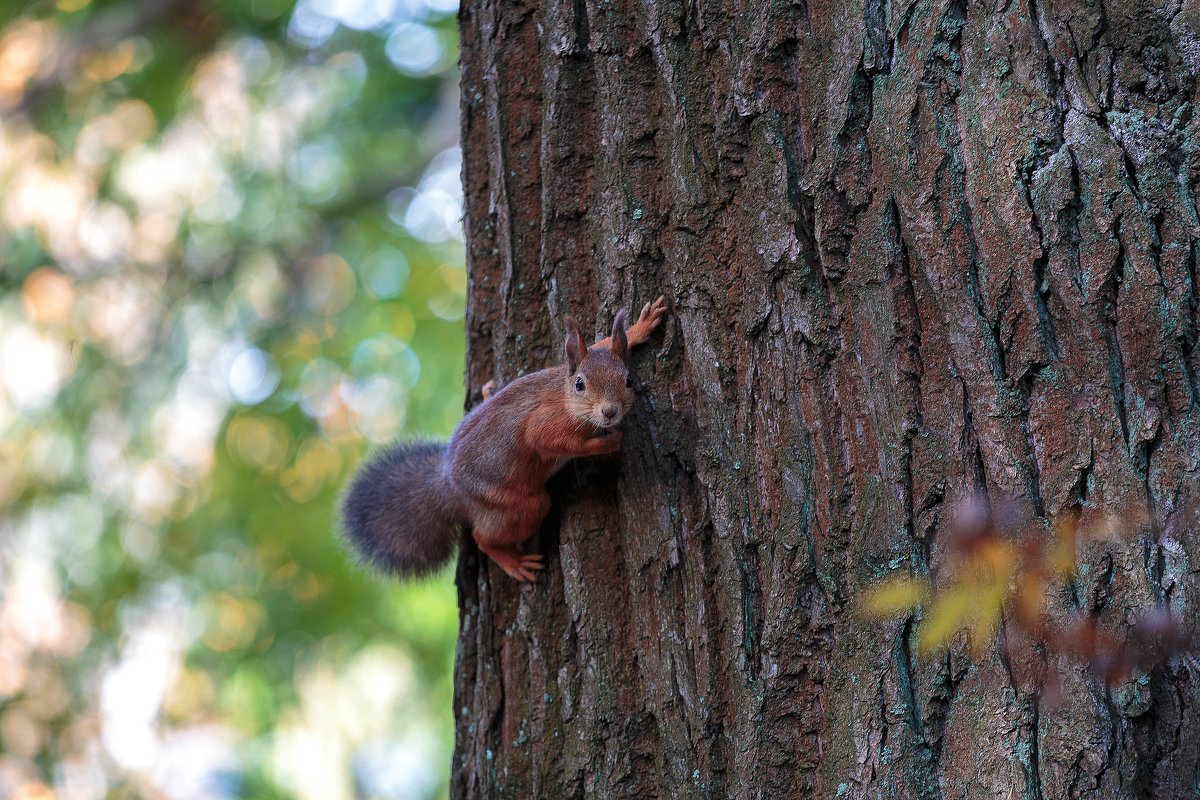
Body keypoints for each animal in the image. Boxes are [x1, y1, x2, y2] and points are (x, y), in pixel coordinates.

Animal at [343, 293, 672, 582]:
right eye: (580, 384)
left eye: (628, 379)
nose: (609, 412)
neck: (564, 397)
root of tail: (446, 487)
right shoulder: (544, 425)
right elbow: (555, 443)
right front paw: (607, 443)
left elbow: (598, 342)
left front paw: (641, 326)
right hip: (516, 504)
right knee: (483, 537)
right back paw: (513, 562)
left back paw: (487, 393)